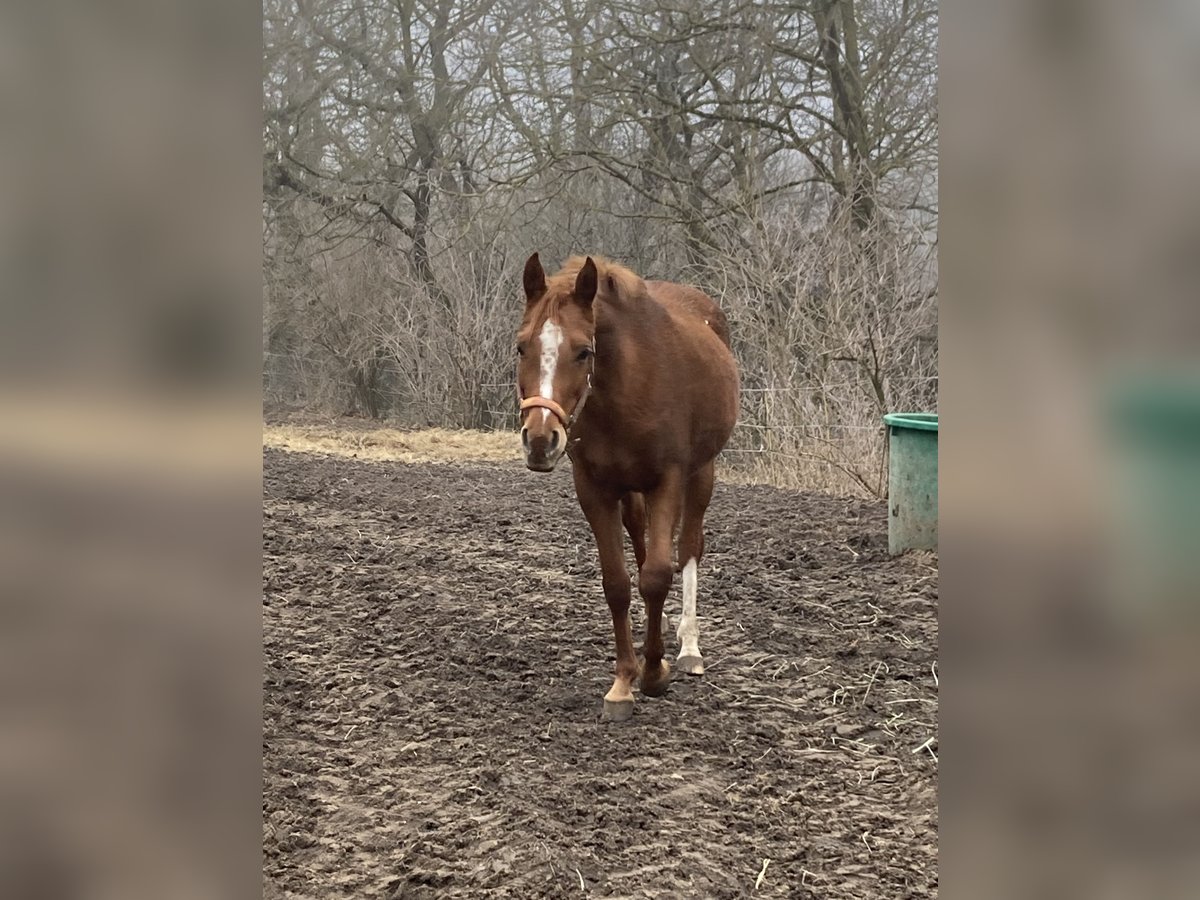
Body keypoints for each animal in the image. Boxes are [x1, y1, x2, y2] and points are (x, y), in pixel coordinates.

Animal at [513, 255, 734, 724]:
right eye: (522, 347)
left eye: (584, 351)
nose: (540, 441)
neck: (627, 387)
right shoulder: (594, 488)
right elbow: (617, 583)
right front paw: (622, 684)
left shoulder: (668, 480)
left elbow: (656, 576)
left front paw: (654, 674)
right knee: (642, 536)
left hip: (701, 473)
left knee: (688, 548)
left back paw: (688, 647)